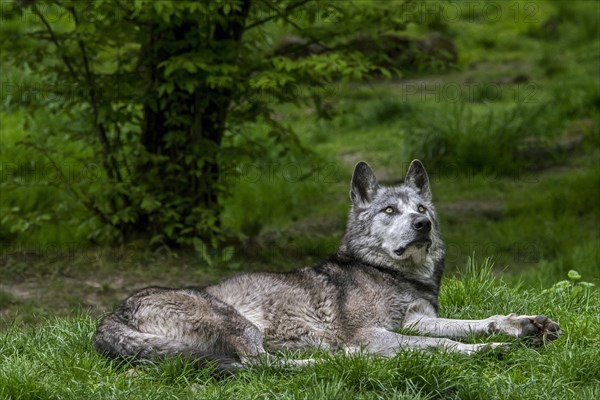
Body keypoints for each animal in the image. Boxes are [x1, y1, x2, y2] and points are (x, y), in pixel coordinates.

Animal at [95, 159, 564, 372]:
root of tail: (108, 317)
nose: (423, 224)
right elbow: (446, 344)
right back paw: (342, 362)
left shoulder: (415, 320)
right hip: (238, 323)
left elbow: (476, 322)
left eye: (421, 208)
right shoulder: (376, 334)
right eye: (390, 210)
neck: (390, 274)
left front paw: (525, 325)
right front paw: (492, 349)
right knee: (260, 366)